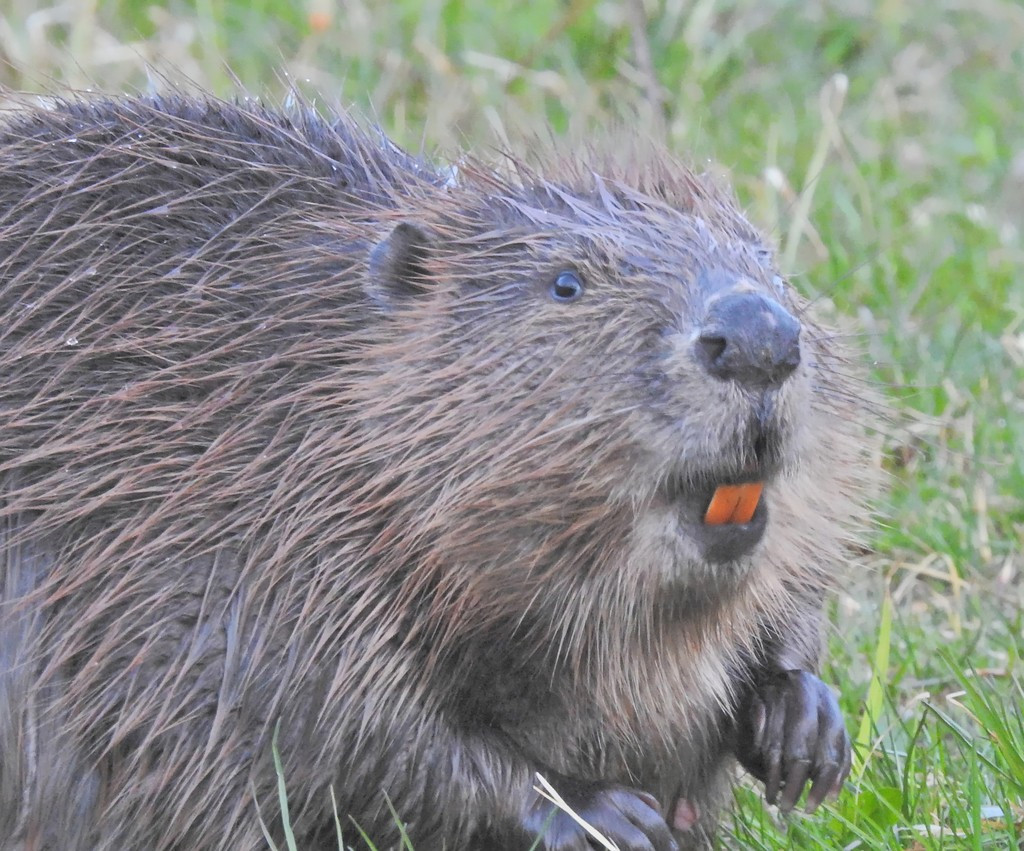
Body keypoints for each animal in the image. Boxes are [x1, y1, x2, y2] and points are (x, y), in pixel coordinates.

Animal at [0, 94, 872, 851]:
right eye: (566, 282)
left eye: (768, 262)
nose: (757, 335)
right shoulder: (249, 551)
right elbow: (351, 731)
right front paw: (604, 815)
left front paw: (804, 722)